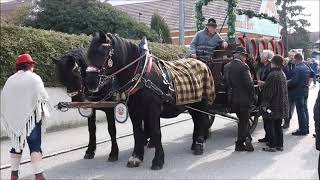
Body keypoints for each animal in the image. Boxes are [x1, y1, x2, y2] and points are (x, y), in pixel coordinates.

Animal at [84, 32, 212, 170]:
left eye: (103, 53)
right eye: (89, 54)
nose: (90, 82)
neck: (142, 76)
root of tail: (201, 61)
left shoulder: (153, 110)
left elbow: (156, 133)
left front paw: (158, 160)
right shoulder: (134, 111)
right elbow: (137, 133)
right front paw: (136, 157)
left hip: (201, 103)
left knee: (202, 120)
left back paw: (199, 144)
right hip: (191, 103)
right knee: (196, 120)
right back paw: (195, 143)